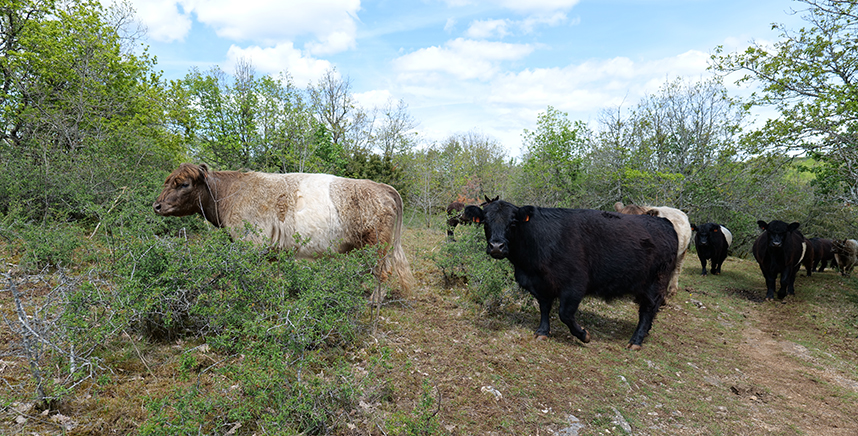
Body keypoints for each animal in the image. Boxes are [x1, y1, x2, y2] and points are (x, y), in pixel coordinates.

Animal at [152, 164, 412, 304]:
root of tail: (382, 187)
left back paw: (374, 301)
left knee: (383, 272)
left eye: (183, 184)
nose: (157, 205)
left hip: (377, 245)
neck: (230, 194)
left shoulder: (250, 243)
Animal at [462, 198, 676, 350]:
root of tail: (664, 222)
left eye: (513, 222)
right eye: (485, 222)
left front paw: (583, 335)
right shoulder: (540, 284)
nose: (496, 246)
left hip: (655, 282)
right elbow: (544, 308)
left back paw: (636, 341)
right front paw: (542, 332)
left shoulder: (574, 285)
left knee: (648, 309)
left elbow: (565, 314)